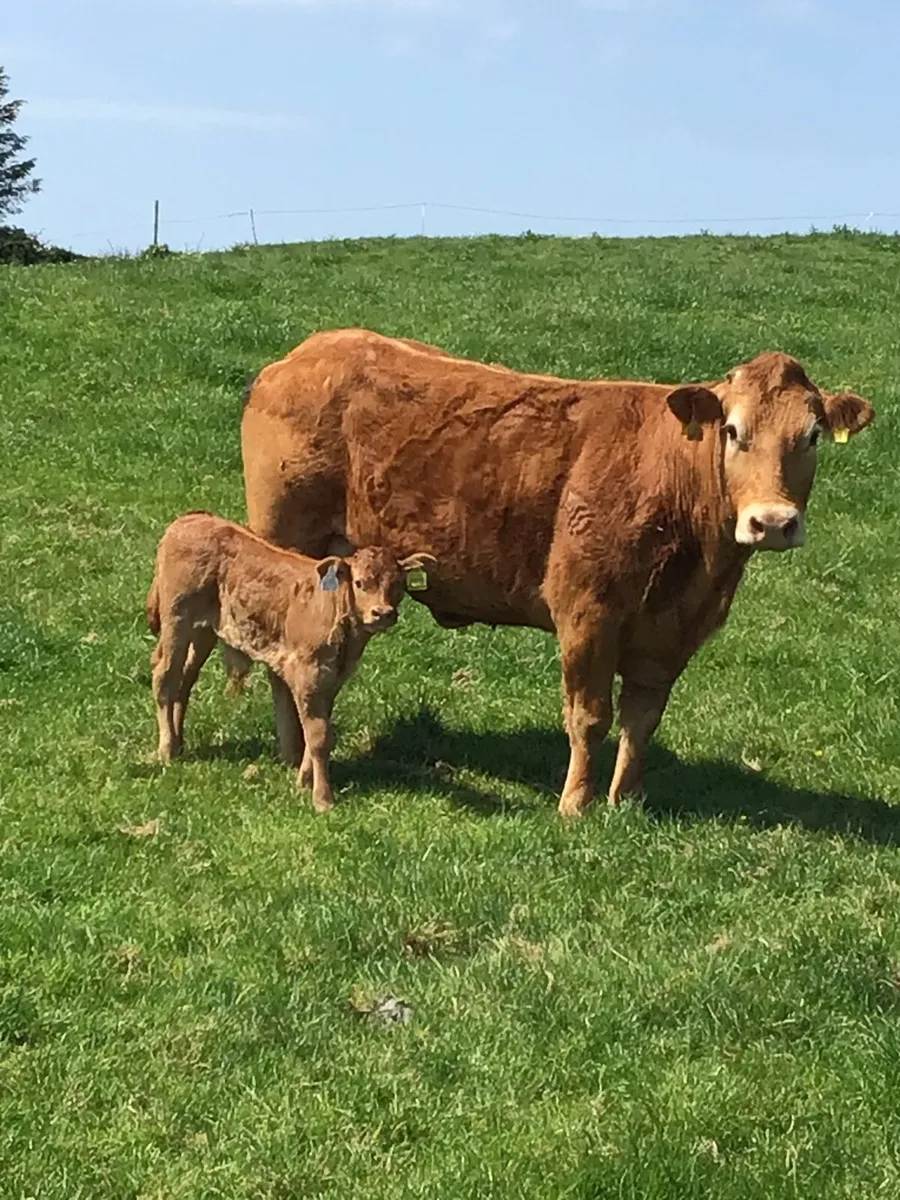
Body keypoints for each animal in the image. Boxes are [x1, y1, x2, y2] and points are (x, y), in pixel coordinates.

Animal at [145, 509, 435, 811]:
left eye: (398, 584)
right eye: (359, 583)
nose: (383, 613)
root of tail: (191, 519)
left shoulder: (332, 680)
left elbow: (316, 730)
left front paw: (304, 780)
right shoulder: (307, 675)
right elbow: (318, 735)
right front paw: (322, 798)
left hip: (203, 629)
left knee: (184, 679)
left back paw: (178, 741)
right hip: (176, 618)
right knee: (164, 675)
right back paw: (166, 749)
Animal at [235, 329, 874, 816]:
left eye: (812, 436)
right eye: (734, 432)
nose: (773, 522)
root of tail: (306, 353)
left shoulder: (673, 633)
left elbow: (642, 720)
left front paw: (627, 800)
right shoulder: (587, 614)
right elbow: (590, 717)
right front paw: (575, 805)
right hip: (285, 541)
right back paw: (294, 757)